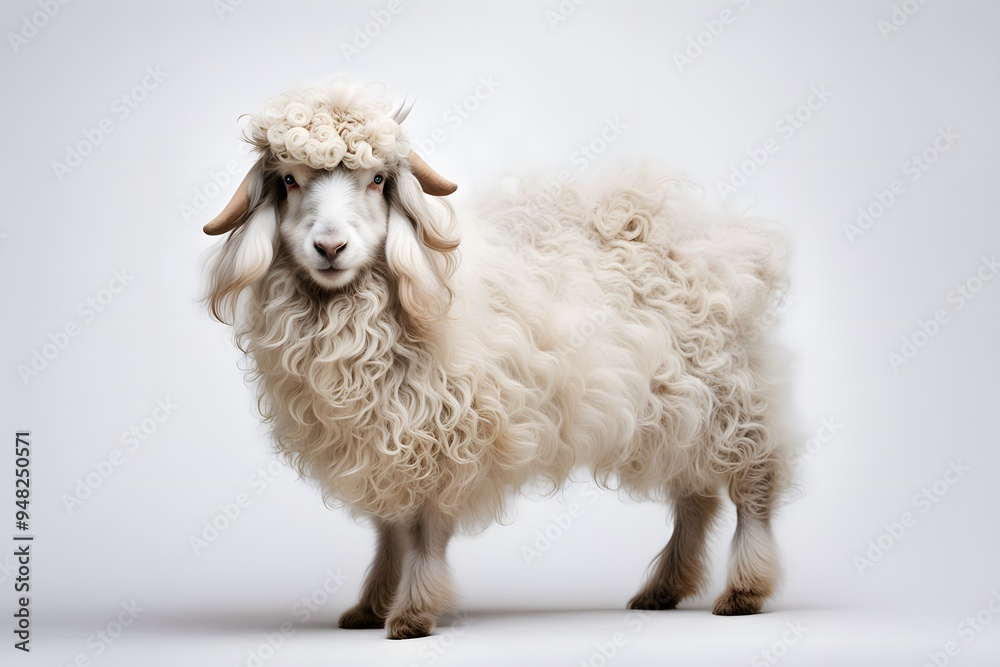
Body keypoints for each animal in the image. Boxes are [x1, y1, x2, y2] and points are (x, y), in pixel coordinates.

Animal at [203, 80, 794, 639]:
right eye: (288, 179)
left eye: (377, 181)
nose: (330, 248)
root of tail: (729, 238)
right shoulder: (386, 440)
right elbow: (390, 527)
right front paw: (371, 606)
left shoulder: (445, 440)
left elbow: (423, 530)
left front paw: (413, 613)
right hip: (677, 409)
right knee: (696, 496)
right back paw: (665, 588)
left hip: (731, 392)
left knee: (753, 483)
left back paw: (744, 590)